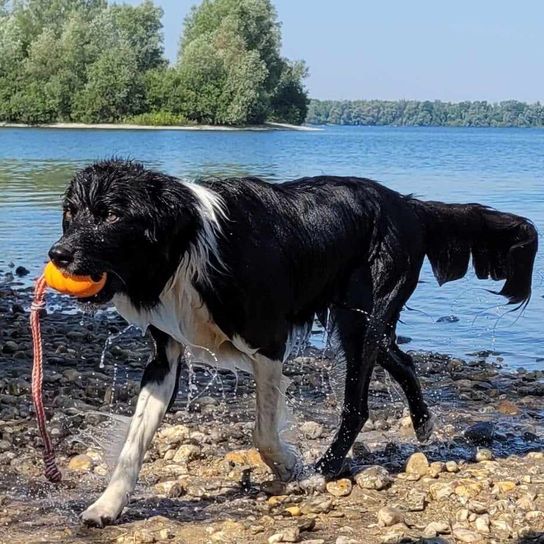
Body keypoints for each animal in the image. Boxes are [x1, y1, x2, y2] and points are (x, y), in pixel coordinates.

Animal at [47, 159, 540, 524]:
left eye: (112, 215)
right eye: (71, 211)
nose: (58, 254)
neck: (186, 246)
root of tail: (408, 204)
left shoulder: (269, 343)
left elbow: (264, 433)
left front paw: (292, 469)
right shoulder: (164, 356)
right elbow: (134, 442)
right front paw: (107, 505)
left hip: (364, 318)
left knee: (358, 404)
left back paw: (328, 467)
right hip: (362, 323)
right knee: (403, 361)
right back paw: (422, 424)